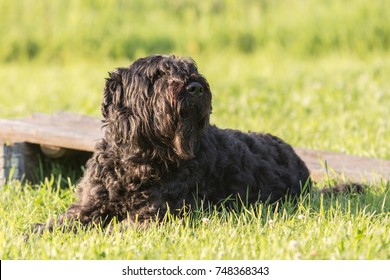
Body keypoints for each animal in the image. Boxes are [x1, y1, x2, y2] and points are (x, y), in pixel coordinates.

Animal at [35, 53, 314, 231]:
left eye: (191, 70)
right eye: (157, 75)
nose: (195, 87)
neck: (140, 159)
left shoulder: (157, 212)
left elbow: (119, 229)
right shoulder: (88, 205)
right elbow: (60, 222)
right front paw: (35, 233)